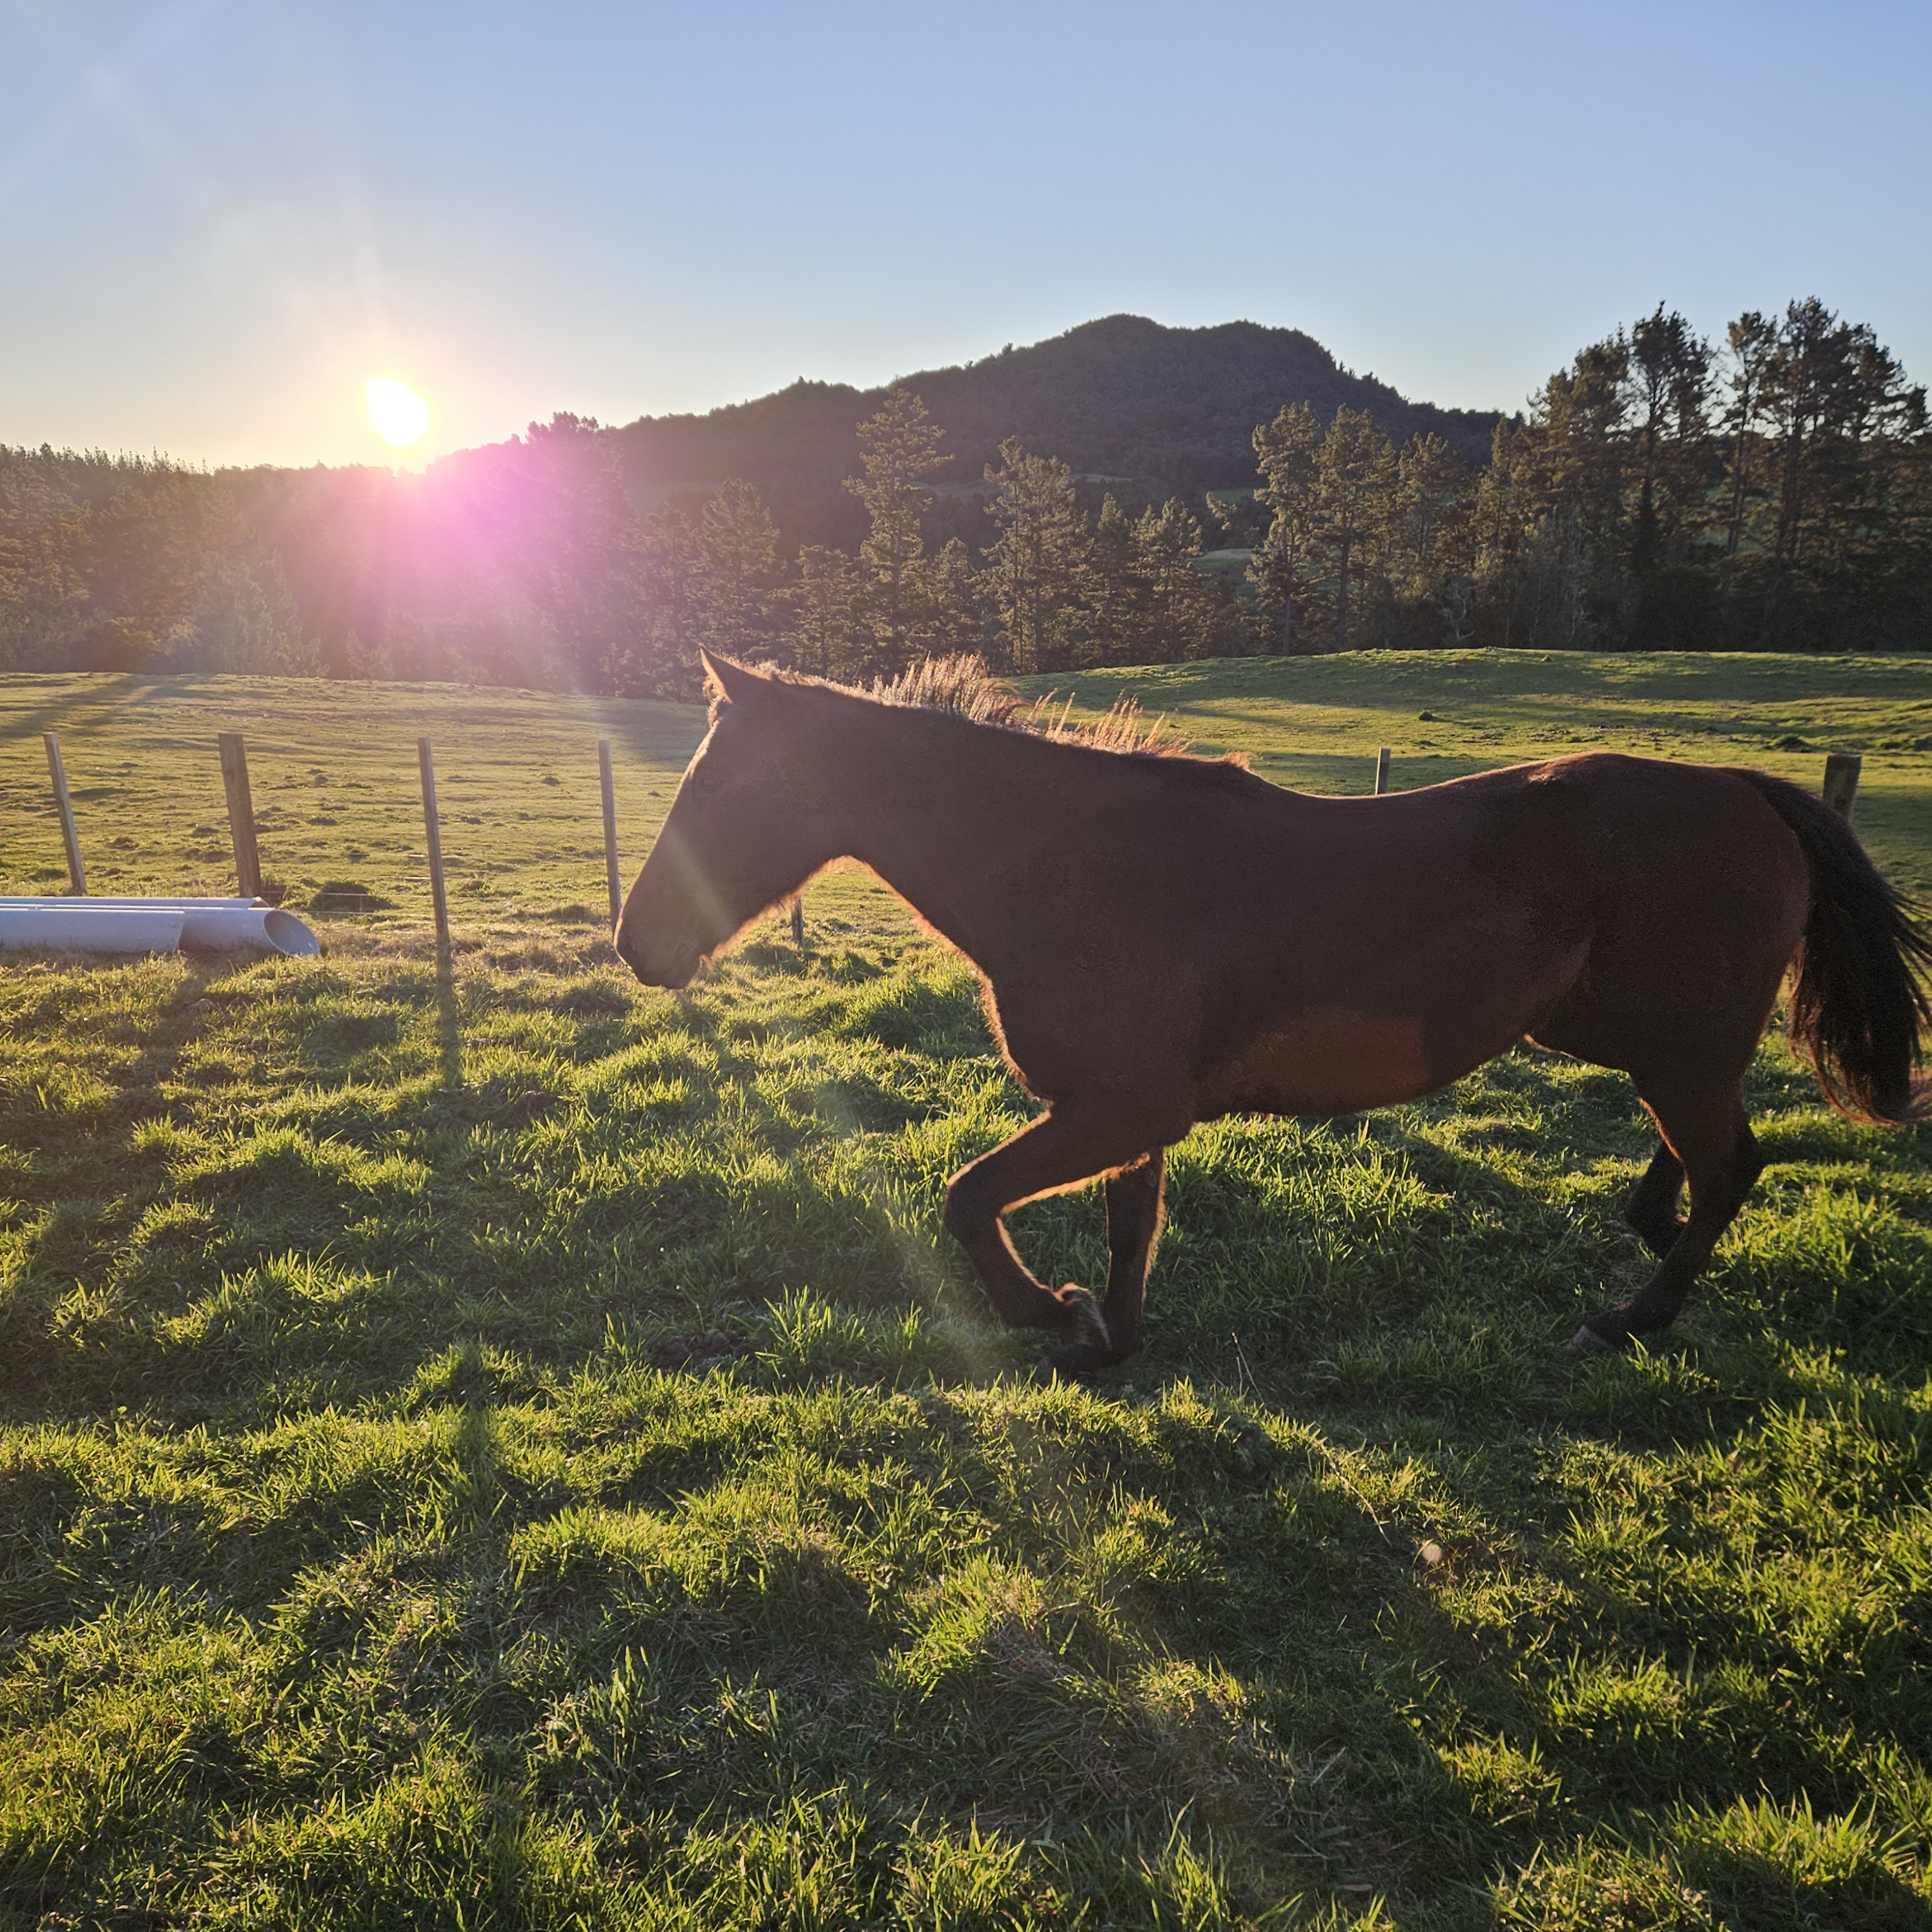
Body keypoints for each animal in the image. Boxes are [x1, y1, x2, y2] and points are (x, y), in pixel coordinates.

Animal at [615, 651, 1931, 1376]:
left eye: (726, 788)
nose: (641, 944)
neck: (1079, 871)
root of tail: (1749, 795)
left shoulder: (1117, 1106)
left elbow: (970, 1198)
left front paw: (1048, 1311)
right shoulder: (1118, 1113)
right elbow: (1127, 1229)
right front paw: (1105, 1341)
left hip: (1677, 1048)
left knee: (1730, 1164)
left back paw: (1629, 1319)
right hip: (1621, 1038)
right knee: (1702, 1158)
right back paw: (1647, 1235)